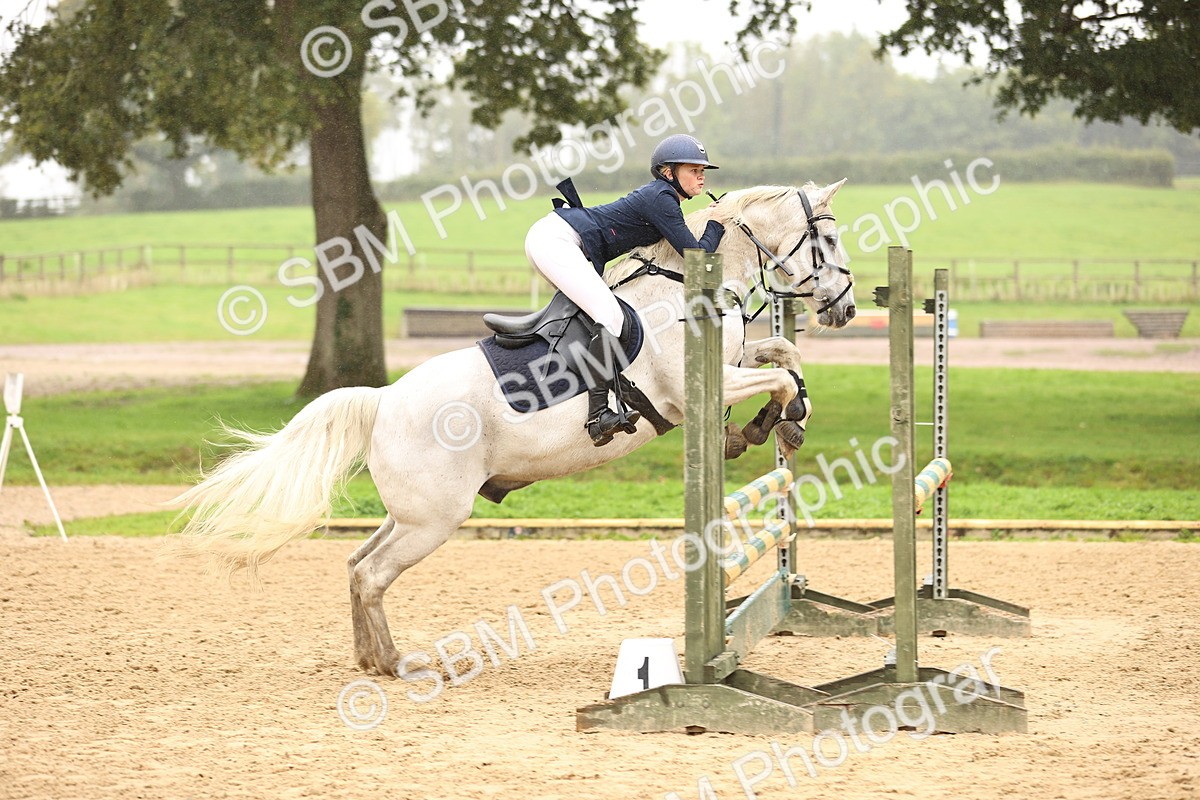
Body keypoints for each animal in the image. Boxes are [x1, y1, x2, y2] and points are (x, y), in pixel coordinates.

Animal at [171, 179, 856, 676]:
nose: (845, 307)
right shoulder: (695, 389)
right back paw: (397, 664)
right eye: (828, 239)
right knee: (371, 573)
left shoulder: (731, 363)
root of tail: (383, 400)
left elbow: (782, 357)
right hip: (435, 519)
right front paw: (772, 425)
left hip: (412, 512)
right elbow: (776, 377)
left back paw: (369, 659)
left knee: (355, 562)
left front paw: (781, 422)